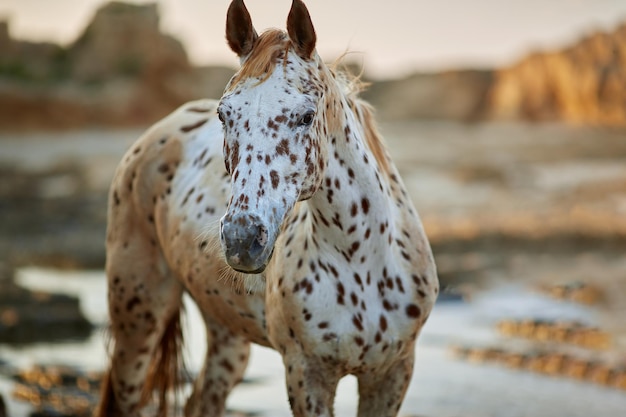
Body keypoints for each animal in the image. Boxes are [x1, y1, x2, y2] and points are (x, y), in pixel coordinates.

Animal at [97, 0, 436, 416]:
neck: (361, 261)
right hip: (138, 316)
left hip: (226, 335)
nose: (242, 240)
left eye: (307, 115)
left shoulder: (391, 374)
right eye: (224, 114)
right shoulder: (306, 373)